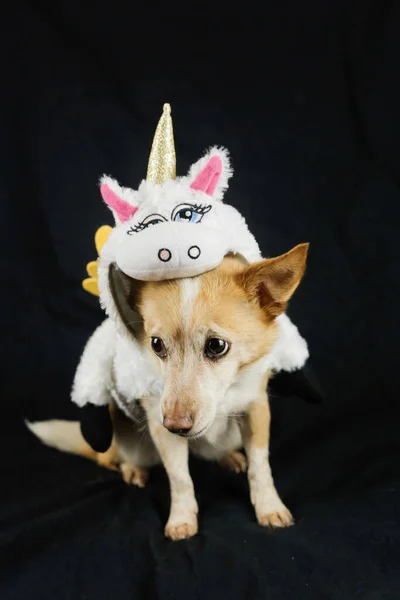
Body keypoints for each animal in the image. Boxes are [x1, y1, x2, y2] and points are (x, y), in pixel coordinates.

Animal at [27, 241, 310, 540]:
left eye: (217, 346)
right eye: (156, 344)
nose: (176, 425)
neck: (224, 394)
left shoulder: (256, 409)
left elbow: (260, 465)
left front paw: (269, 507)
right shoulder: (161, 426)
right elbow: (180, 477)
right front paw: (182, 519)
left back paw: (229, 458)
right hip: (129, 443)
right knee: (112, 458)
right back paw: (132, 470)